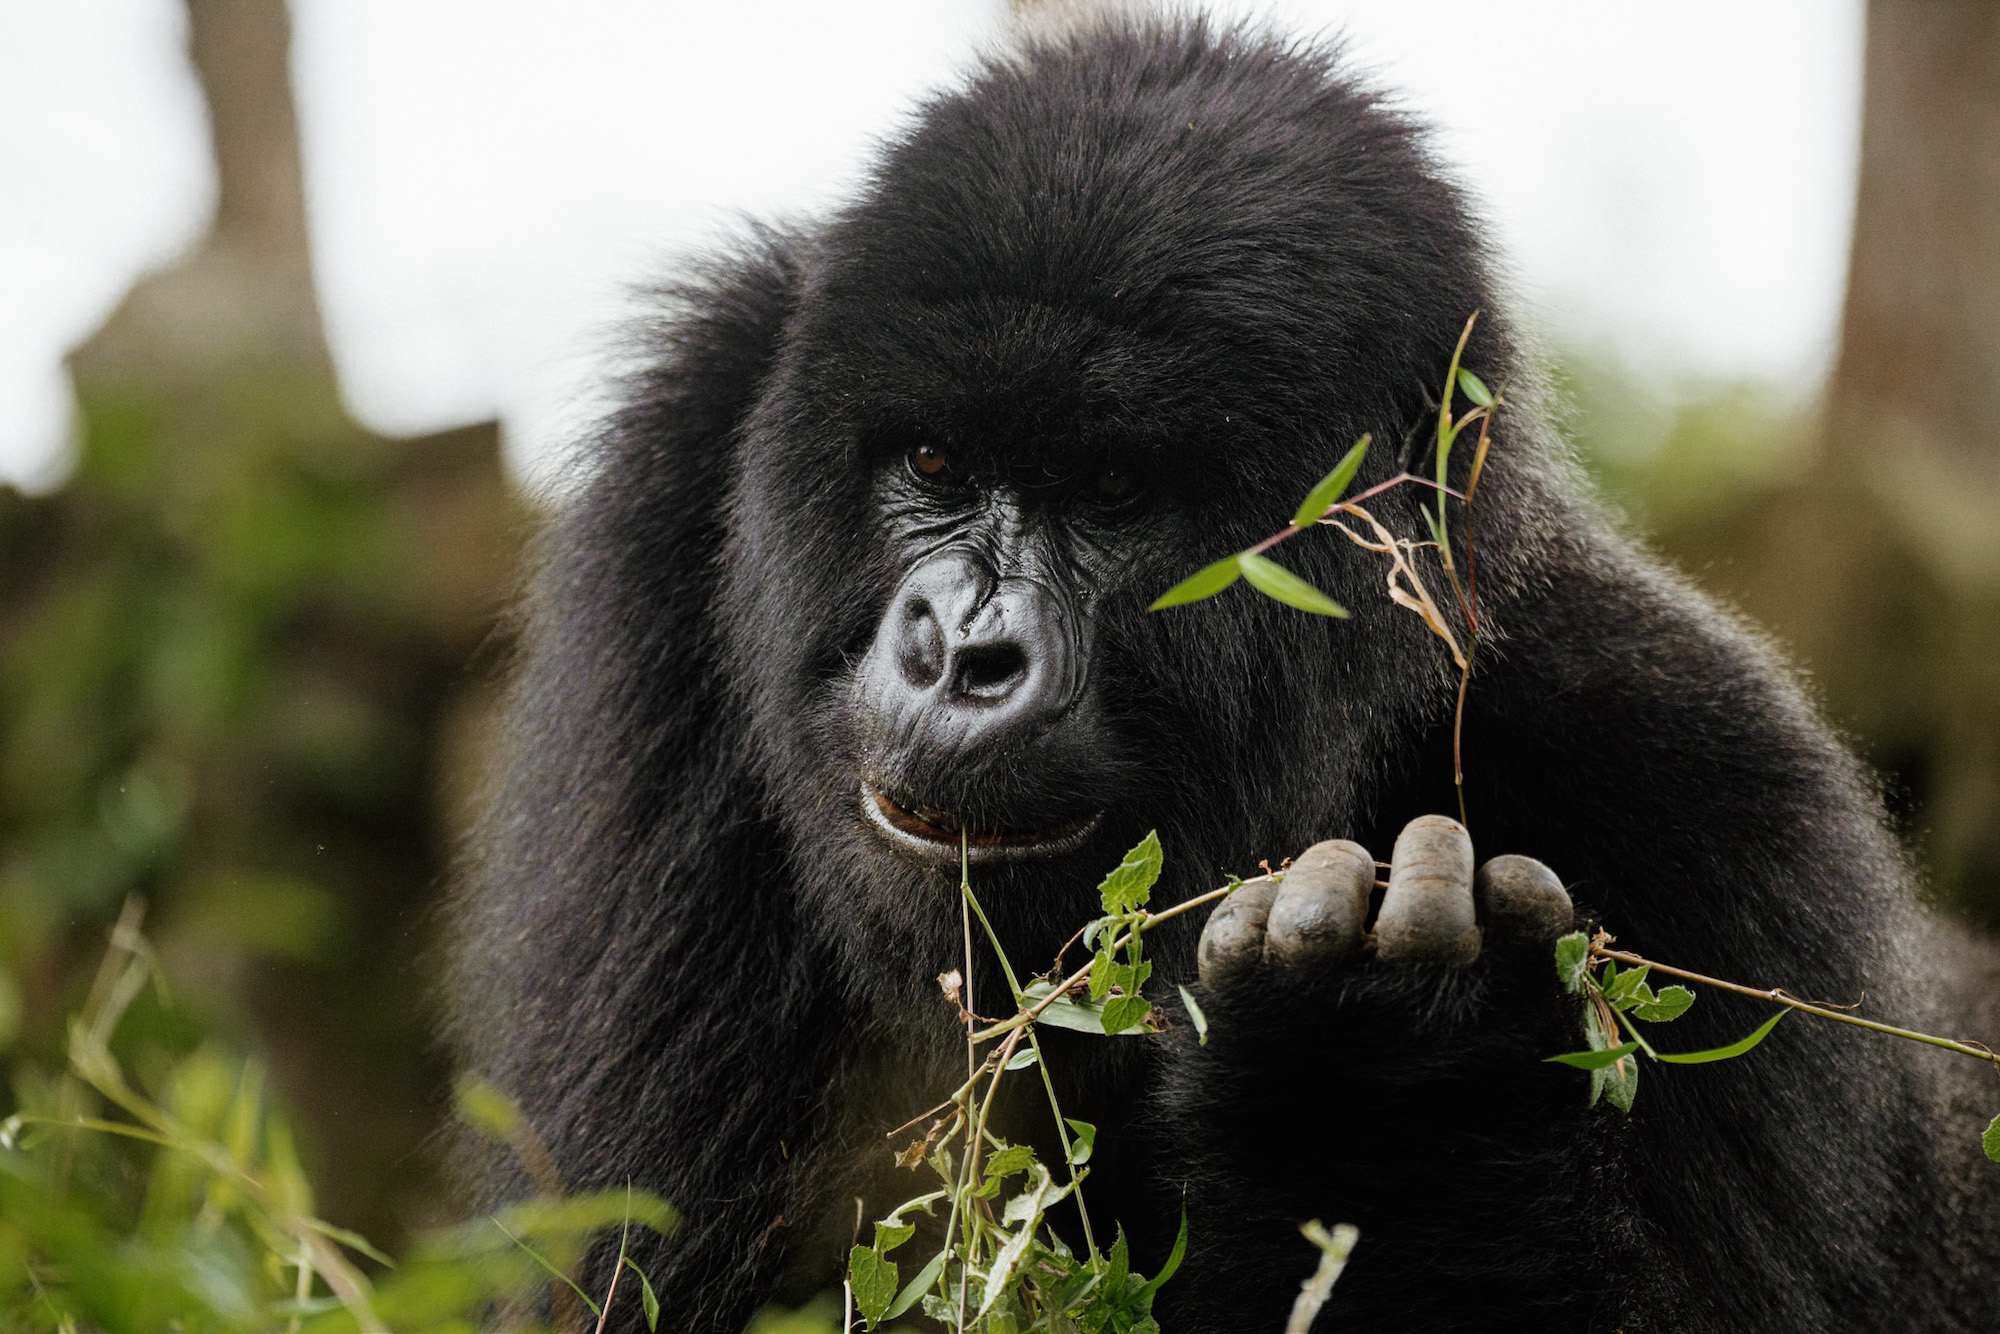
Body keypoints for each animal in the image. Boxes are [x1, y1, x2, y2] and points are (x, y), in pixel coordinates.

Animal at [450, 13, 2000, 1334]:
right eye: (933, 461)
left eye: (1116, 489)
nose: (963, 654)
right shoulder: (677, 475)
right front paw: (1378, 1068)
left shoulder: (1707, 798)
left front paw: (1383, 1091)